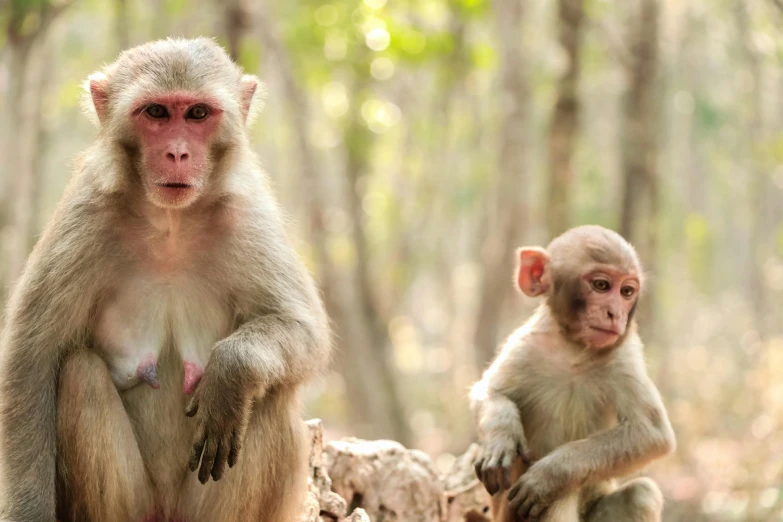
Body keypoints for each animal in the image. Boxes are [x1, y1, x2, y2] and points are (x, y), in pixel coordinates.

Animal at [0, 37, 328, 520]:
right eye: (156, 112)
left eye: (197, 114)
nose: (177, 152)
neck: (172, 223)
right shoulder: (85, 213)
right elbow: (31, 362)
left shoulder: (248, 215)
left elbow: (304, 329)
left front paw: (231, 372)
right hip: (140, 505)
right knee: (80, 373)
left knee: (271, 394)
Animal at [472, 224, 680, 520]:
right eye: (601, 285)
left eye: (627, 291)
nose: (614, 313)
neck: (573, 350)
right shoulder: (525, 345)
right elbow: (490, 392)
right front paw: (501, 438)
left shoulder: (625, 358)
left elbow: (651, 433)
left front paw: (548, 475)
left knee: (638, 495)